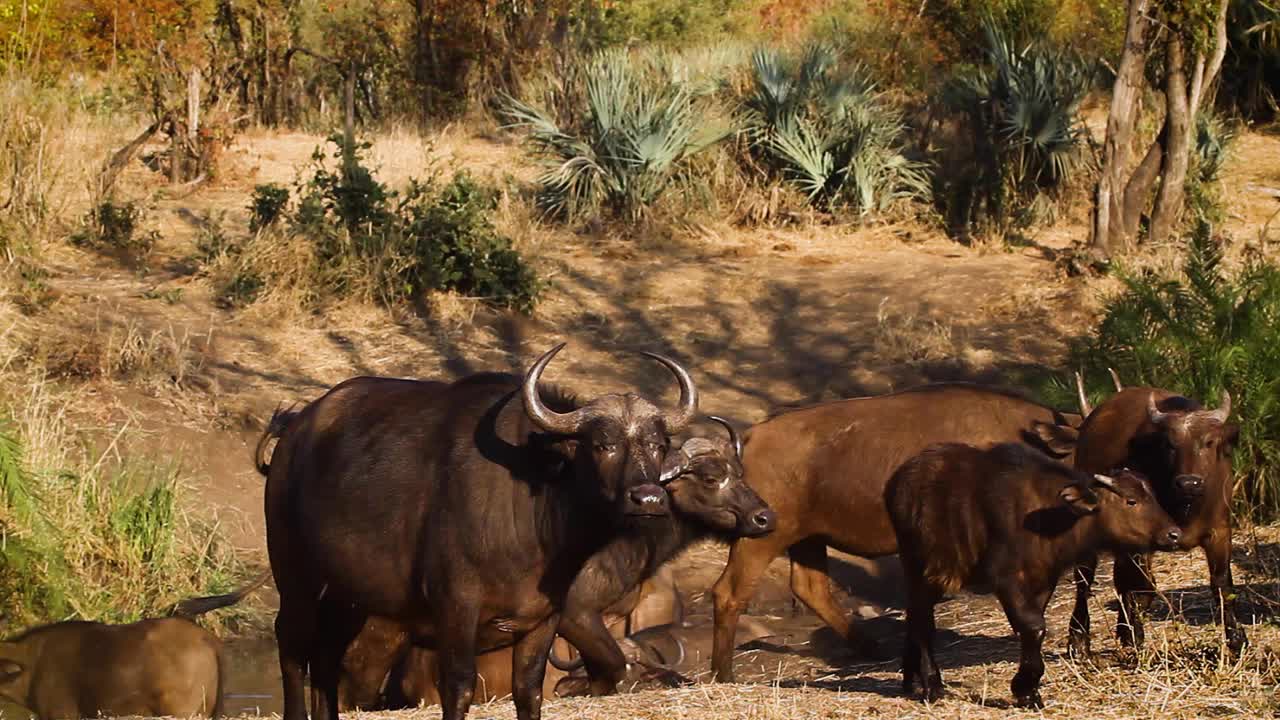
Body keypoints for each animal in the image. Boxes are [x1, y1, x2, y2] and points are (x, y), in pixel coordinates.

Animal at [262, 340, 701, 717]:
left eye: (658, 444)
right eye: (602, 444)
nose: (648, 499)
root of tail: (293, 436)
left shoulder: (544, 618)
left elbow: (529, 690)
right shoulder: (457, 609)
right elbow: (459, 688)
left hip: (348, 597)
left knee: (326, 655)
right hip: (295, 579)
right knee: (291, 646)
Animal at [711, 381, 1080, 676]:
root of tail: (753, 436)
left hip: (807, 539)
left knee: (810, 588)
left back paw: (872, 648)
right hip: (763, 537)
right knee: (729, 593)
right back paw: (723, 674)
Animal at [890, 440, 1177, 702]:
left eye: (1153, 497)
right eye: (1131, 501)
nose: (1173, 534)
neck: (1048, 517)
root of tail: (898, 482)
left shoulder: (1044, 581)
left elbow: (1033, 627)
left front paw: (1027, 688)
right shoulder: (1006, 580)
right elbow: (1035, 626)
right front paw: (1025, 686)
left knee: (915, 616)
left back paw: (911, 678)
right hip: (919, 569)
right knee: (922, 621)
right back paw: (931, 684)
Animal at [1064, 386, 1244, 655]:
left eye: (1209, 442)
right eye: (1170, 444)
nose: (1189, 482)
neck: (1186, 506)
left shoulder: (1220, 531)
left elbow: (1222, 585)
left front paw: (1236, 639)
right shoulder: (1140, 540)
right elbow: (1143, 587)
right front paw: (1134, 637)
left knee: (1120, 581)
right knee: (1084, 581)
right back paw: (1078, 639)